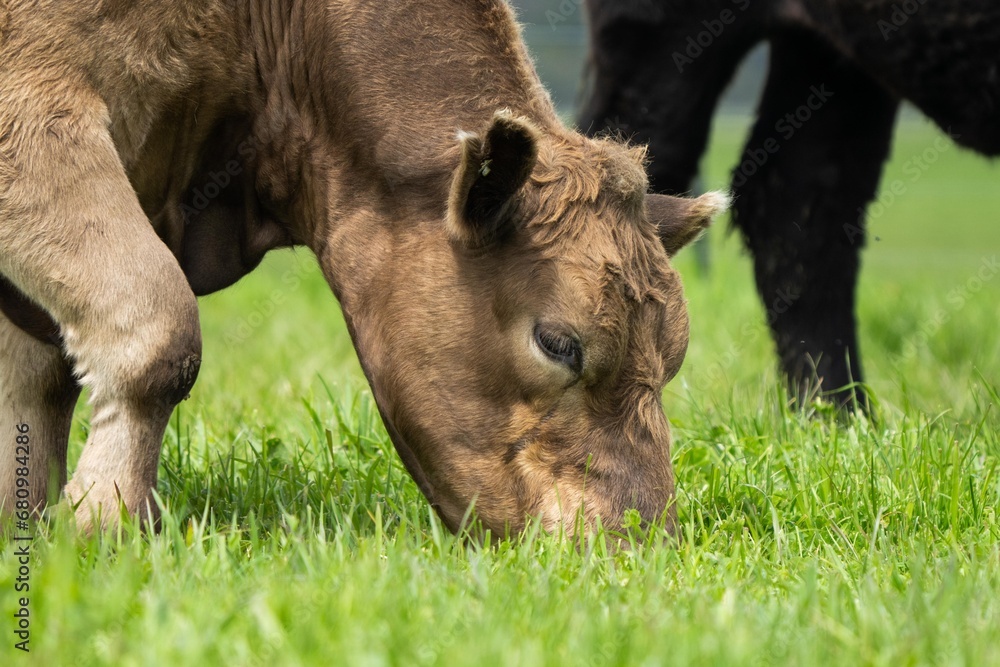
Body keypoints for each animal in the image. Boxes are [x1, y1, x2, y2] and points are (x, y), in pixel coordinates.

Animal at [0, 0, 729, 536]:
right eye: (559, 343)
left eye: (673, 357)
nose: (636, 543)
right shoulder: (35, 110)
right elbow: (158, 333)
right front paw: (102, 522)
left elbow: (37, 379)